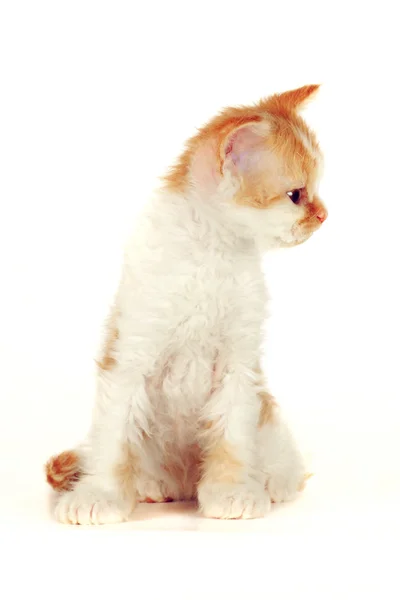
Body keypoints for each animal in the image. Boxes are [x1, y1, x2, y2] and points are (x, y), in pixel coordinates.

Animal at [47, 85, 326, 524]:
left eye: (313, 192)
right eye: (296, 195)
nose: (324, 215)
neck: (211, 251)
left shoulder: (239, 365)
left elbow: (232, 433)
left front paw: (231, 492)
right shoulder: (129, 355)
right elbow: (113, 439)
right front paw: (100, 496)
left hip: (270, 421)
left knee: (286, 465)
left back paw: (271, 481)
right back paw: (150, 486)